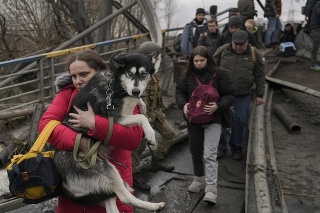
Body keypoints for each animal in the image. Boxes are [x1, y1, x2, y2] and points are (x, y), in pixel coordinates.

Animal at [53, 52, 165, 212]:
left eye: (144, 74)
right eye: (130, 73)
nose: (136, 91)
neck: (116, 84)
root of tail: (63, 183)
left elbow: (139, 107)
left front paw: (143, 106)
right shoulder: (114, 118)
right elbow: (140, 117)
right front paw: (150, 133)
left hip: (103, 185)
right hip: (107, 169)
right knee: (124, 197)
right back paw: (153, 205)